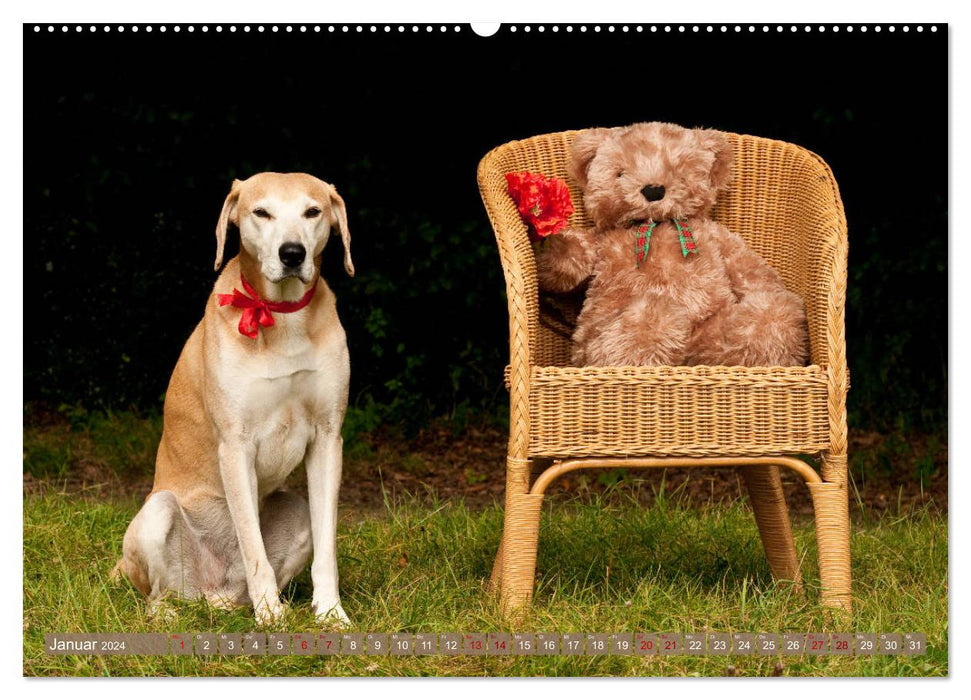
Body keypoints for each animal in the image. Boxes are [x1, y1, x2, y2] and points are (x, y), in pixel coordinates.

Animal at [113, 172, 356, 628]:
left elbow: (327, 550)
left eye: (313, 211)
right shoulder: (236, 445)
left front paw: (331, 613)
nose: (292, 253)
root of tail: (212, 593)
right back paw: (171, 615)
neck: (282, 316)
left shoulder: (328, 439)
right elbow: (253, 547)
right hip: (158, 513)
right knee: (158, 595)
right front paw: (272, 619)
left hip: (296, 512)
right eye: (261, 212)